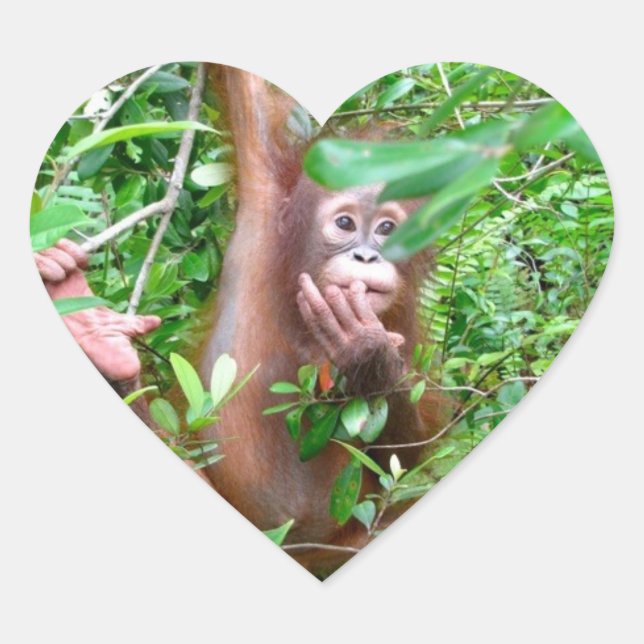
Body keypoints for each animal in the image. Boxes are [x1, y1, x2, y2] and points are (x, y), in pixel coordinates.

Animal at [34, 65, 442, 576]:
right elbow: (246, 90)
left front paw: (366, 353)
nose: (368, 256)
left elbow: (403, 457)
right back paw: (98, 341)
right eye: (346, 223)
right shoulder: (265, 190)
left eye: (388, 228)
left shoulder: (401, 316)